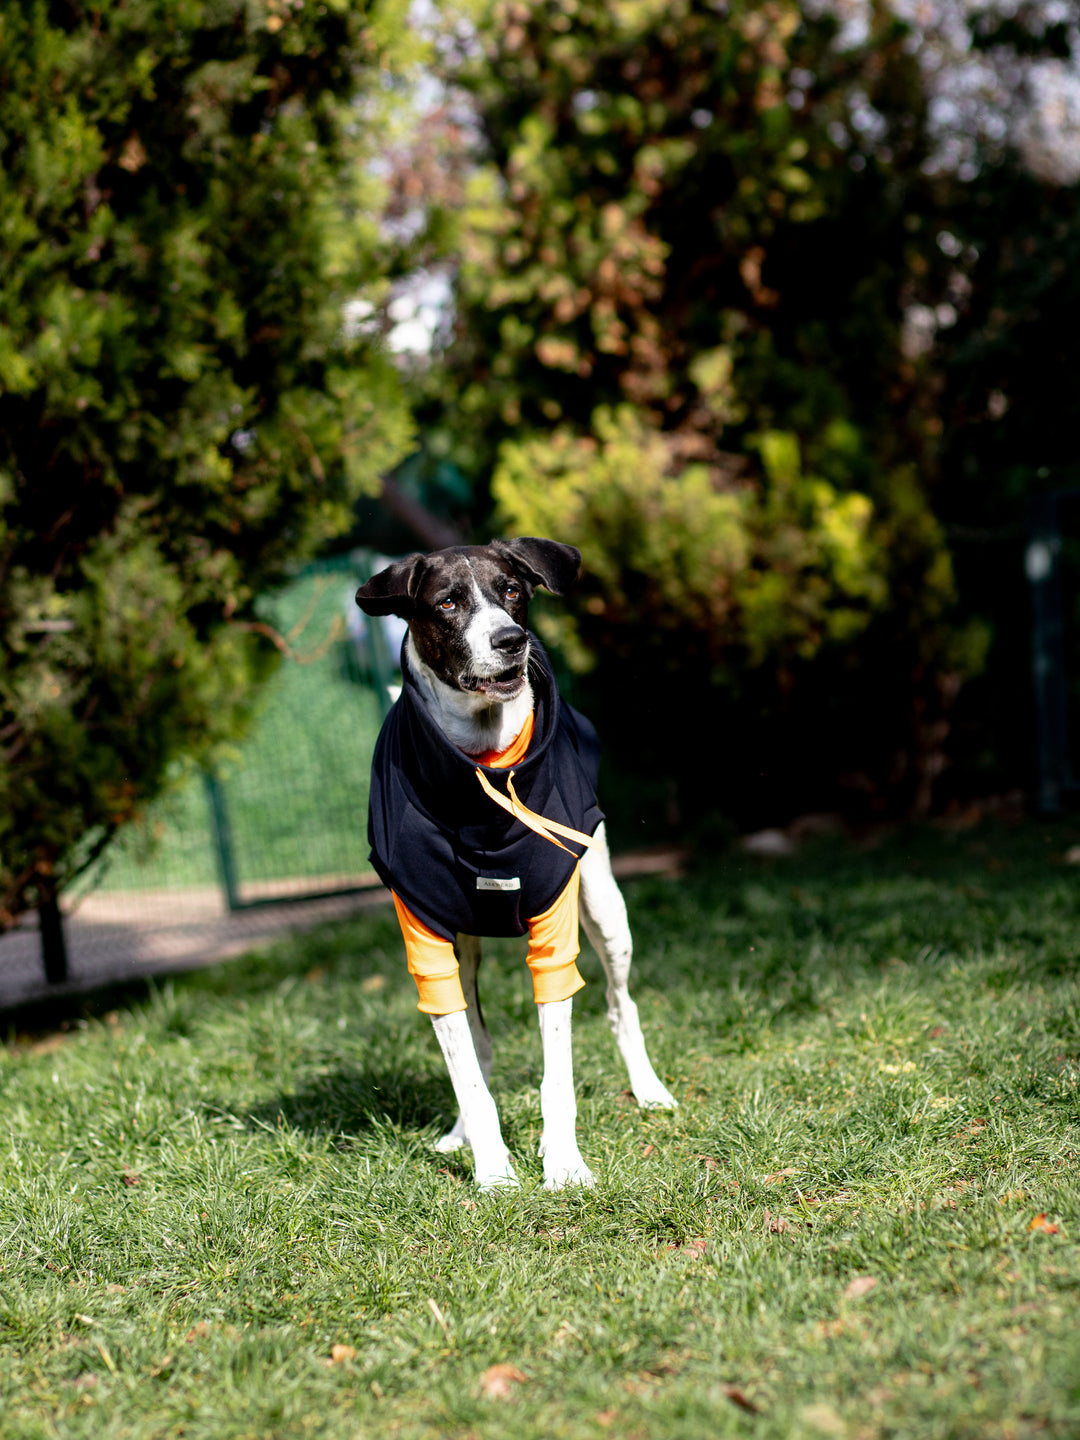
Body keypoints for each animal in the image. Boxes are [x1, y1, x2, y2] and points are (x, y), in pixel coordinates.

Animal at [355, 535, 676, 1186]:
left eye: (511, 591)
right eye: (447, 602)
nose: (510, 639)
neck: (483, 763)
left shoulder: (556, 932)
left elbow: (559, 1073)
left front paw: (565, 1166)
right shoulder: (427, 939)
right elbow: (468, 1069)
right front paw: (494, 1173)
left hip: (605, 907)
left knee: (620, 1004)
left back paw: (649, 1091)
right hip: (464, 946)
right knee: (477, 1043)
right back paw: (461, 1135)